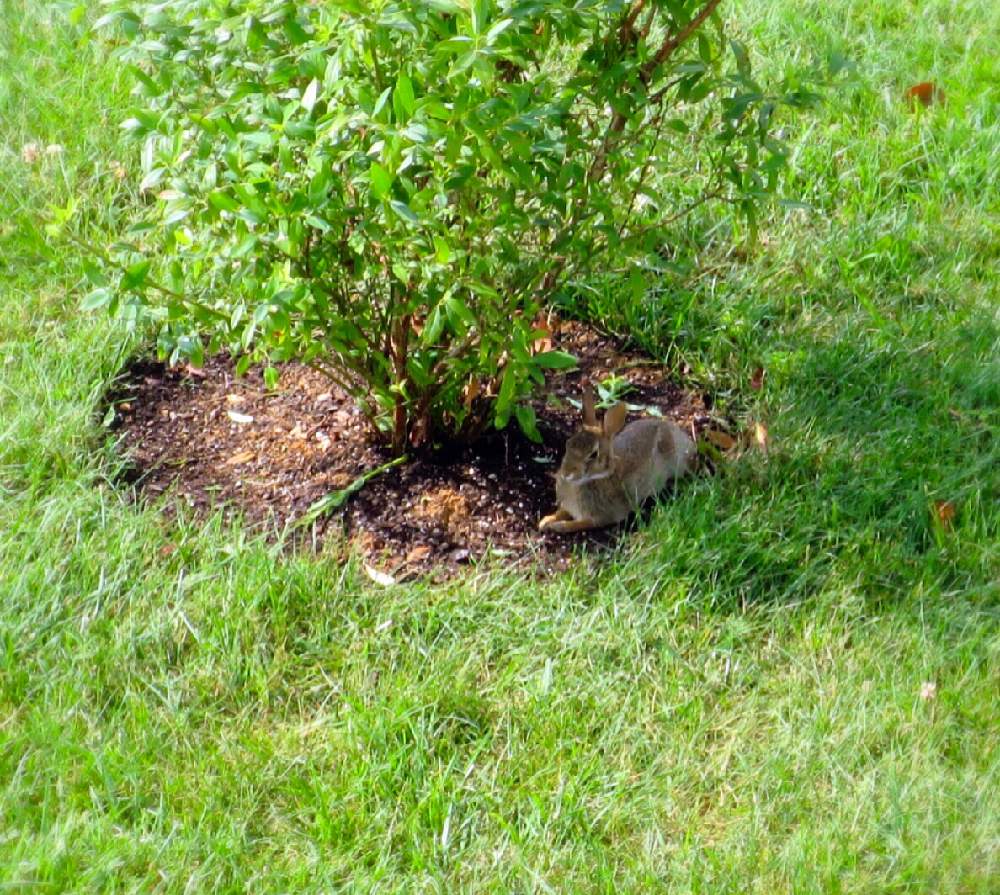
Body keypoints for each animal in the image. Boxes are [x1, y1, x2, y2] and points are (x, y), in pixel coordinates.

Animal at [540, 384, 696, 532]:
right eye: (568, 444)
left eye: (593, 454)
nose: (567, 473)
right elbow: (561, 512)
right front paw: (544, 521)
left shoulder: (600, 517)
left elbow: (579, 524)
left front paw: (558, 526)